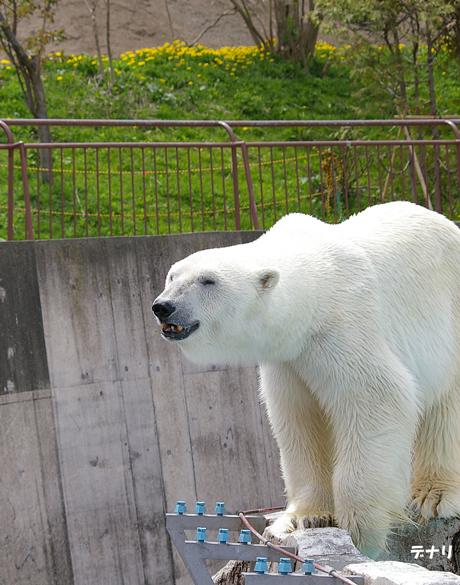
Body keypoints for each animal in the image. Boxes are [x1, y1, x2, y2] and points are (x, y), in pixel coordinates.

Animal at [153, 201, 460, 556]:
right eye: (172, 276)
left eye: (208, 281)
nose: (163, 306)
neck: (315, 287)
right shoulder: (289, 358)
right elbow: (299, 419)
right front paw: (307, 517)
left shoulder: (344, 330)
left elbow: (377, 400)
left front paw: (361, 533)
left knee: (446, 406)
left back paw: (432, 496)